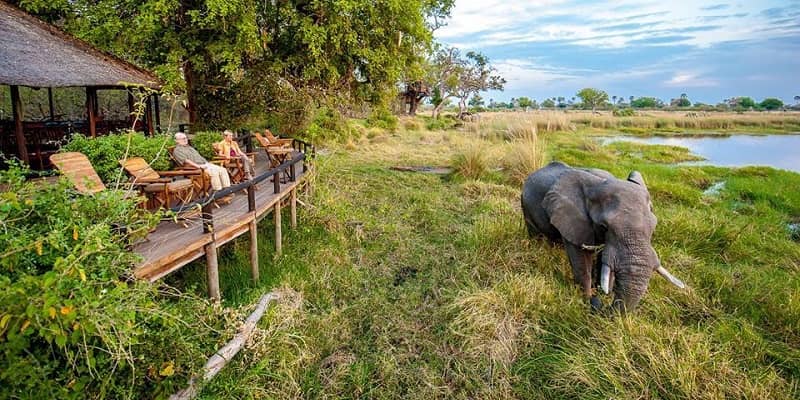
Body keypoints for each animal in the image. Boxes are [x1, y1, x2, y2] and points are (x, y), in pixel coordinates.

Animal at [520, 162, 684, 312]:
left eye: (654, 226)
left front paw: (601, 290)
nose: (601, 303)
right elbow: (581, 258)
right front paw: (587, 298)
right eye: (604, 226)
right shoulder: (571, 219)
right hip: (526, 206)